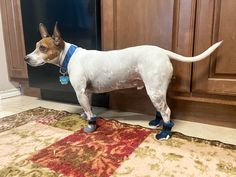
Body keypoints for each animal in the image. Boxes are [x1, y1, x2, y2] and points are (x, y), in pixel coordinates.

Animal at [24, 23, 221, 140]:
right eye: (35, 46)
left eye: (43, 48)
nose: (26, 58)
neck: (69, 56)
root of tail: (162, 51)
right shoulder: (87, 92)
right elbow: (88, 108)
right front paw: (87, 116)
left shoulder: (80, 92)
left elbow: (89, 112)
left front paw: (90, 126)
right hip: (157, 89)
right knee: (162, 108)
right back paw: (157, 123)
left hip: (154, 90)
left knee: (166, 111)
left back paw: (164, 133)